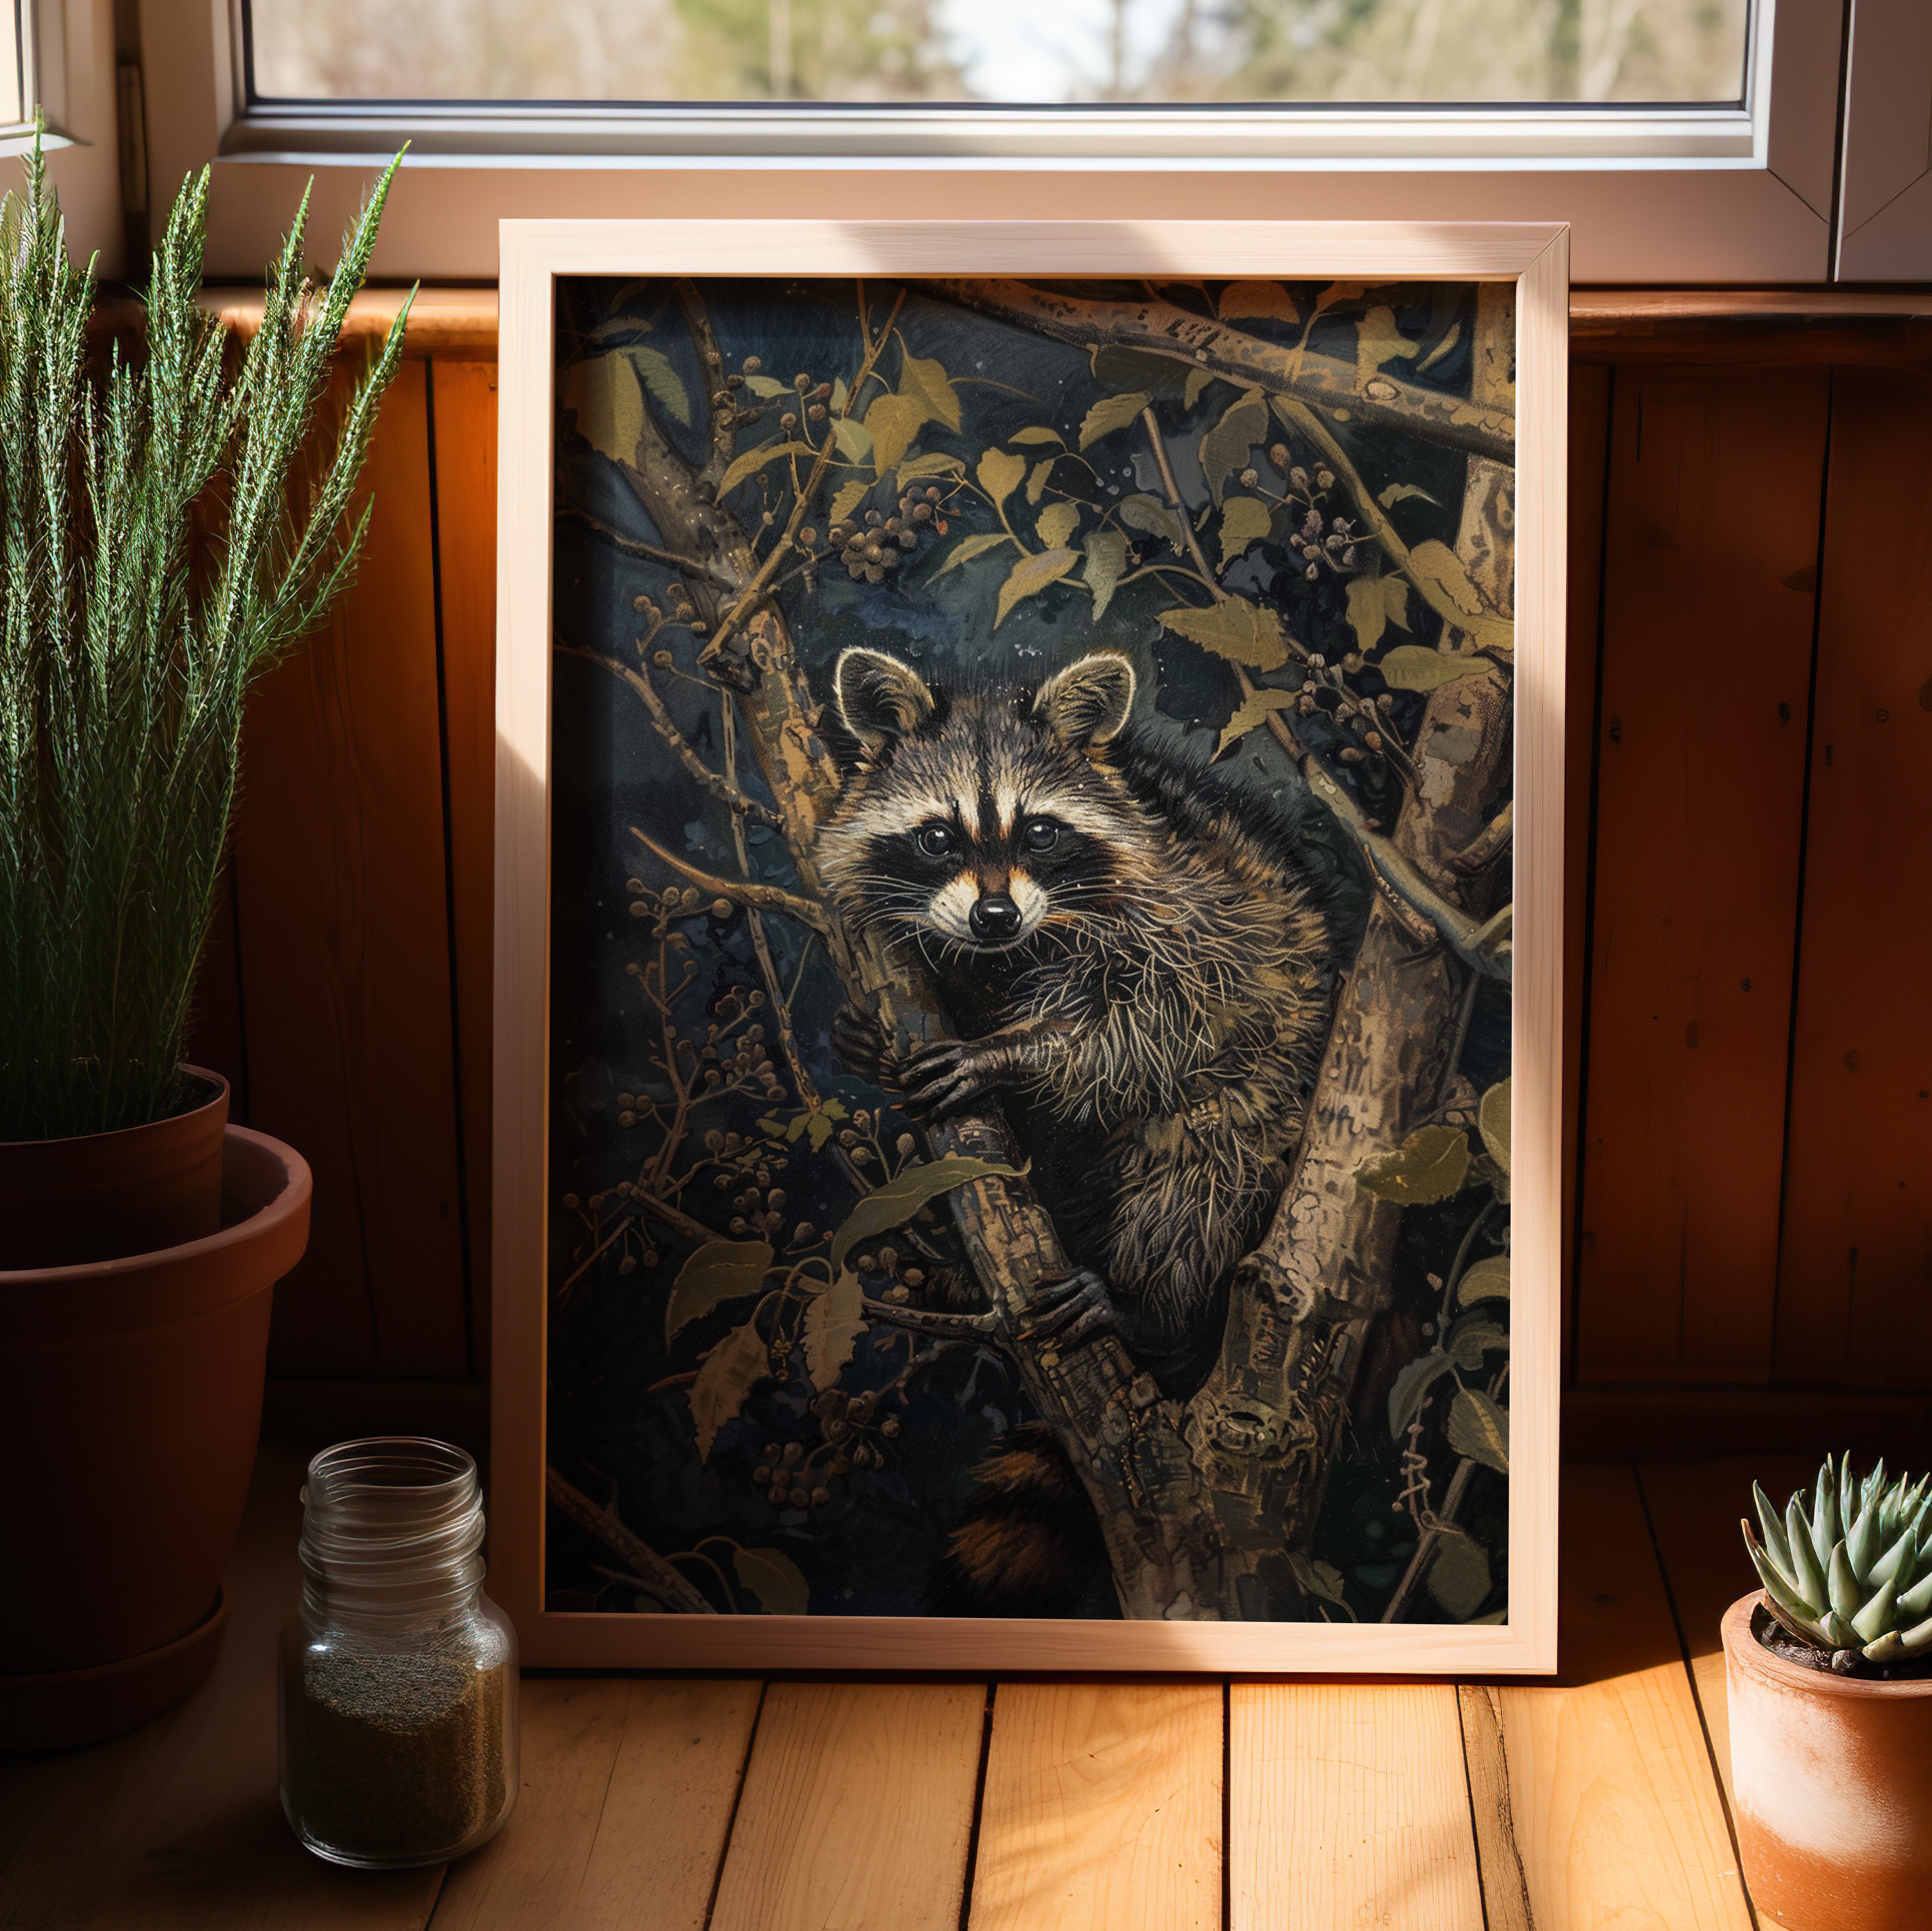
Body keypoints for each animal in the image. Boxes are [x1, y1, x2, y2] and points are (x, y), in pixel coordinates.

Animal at [815, 646, 1336, 1611]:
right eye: (937, 836)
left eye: (1041, 833)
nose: (993, 915)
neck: (1018, 947)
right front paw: (868, 1037)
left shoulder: (1197, 919)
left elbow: (1146, 1028)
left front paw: (1016, 1052)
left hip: (1268, 1101)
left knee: (1202, 1175)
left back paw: (1149, 1304)